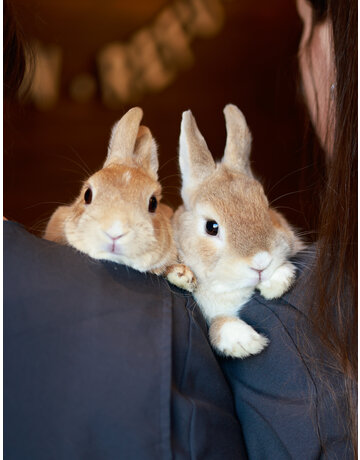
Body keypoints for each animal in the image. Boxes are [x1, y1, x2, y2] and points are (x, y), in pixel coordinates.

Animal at [172, 104, 304, 360]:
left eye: (266, 207)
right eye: (211, 227)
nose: (261, 262)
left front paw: (279, 280)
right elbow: (218, 323)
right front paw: (246, 342)